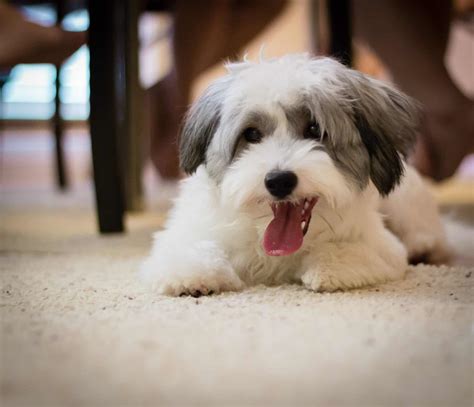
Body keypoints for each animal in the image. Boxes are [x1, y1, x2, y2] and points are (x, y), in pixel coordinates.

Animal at [141, 53, 448, 296]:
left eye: (314, 129)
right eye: (251, 134)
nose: (279, 181)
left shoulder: (383, 247)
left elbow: (353, 251)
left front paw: (327, 268)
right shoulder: (189, 230)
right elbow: (186, 249)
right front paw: (193, 275)